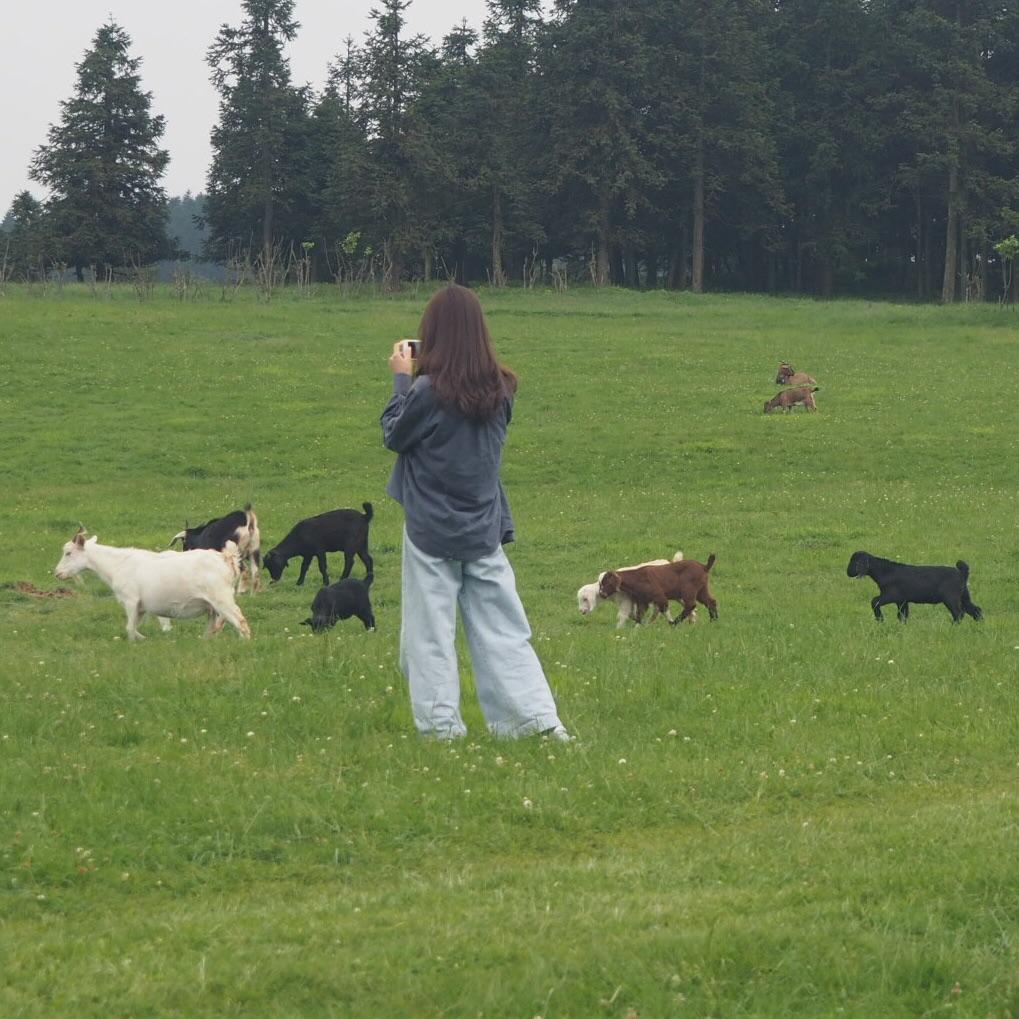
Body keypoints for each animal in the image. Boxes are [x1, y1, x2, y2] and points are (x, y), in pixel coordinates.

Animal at [56, 529, 253, 639]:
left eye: (68, 553)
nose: (57, 573)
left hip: (222, 598)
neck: (118, 564)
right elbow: (133, 627)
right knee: (215, 626)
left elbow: (129, 628)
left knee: (240, 621)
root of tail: (227, 557)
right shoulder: (141, 607)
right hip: (213, 606)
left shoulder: (130, 600)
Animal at [843, 550, 978, 619]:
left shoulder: (891, 595)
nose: (848, 573)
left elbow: (874, 601)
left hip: (951, 597)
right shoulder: (902, 601)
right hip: (964, 596)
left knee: (958, 613)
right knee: (976, 610)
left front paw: (880, 619)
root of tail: (962, 573)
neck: (885, 571)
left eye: (855, 561)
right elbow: (902, 615)